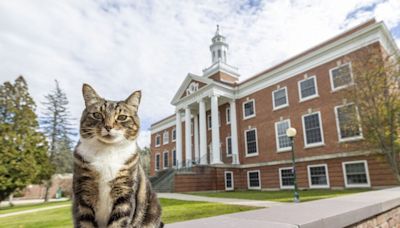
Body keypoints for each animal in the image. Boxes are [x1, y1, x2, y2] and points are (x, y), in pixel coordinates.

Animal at [72, 84, 162, 227]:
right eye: (97, 115)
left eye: (122, 117)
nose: (108, 126)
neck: (107, 151)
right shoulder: (83, 193)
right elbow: (85, 221)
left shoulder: (125, 193)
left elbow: (119, 221)